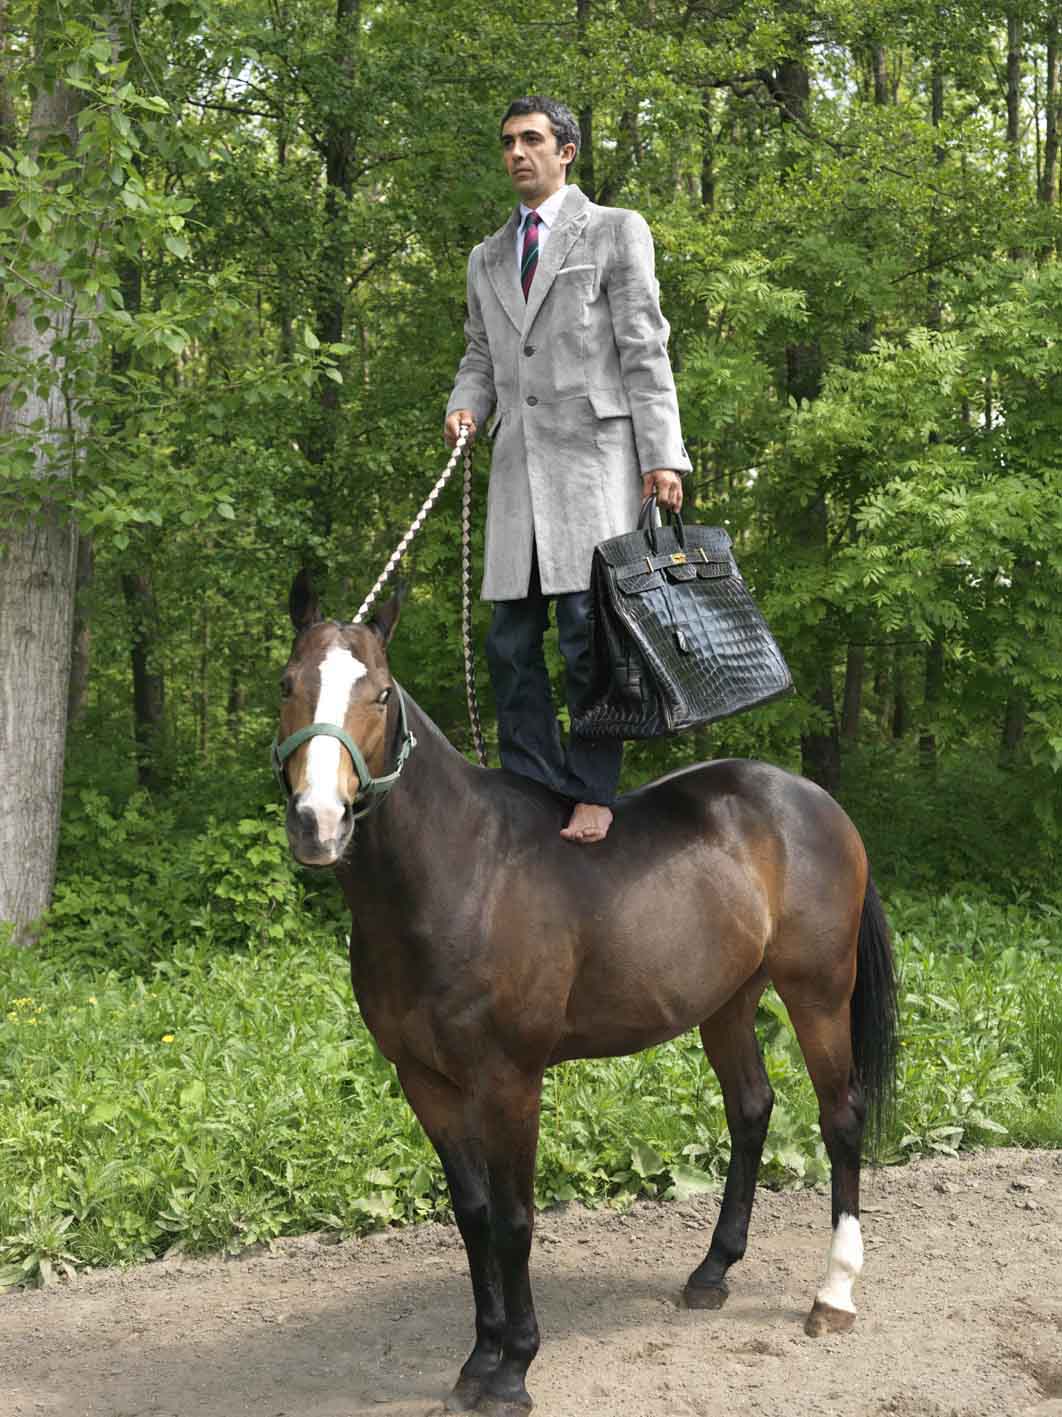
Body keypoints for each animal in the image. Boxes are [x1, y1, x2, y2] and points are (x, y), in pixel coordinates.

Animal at [273, 573, 897, 1417]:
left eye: (378, 693)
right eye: (289, 684)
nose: (319, 821)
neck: (460, 872)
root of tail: (815, 800)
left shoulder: (510, 1081)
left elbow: (514, 1218)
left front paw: (514, 1367)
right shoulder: (423, 1080)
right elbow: (472, 1214)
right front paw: (479, 1356)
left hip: (819, 992)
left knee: (841, 1118)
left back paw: (833, 1293)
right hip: (727, 1001)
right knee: (751, 1109)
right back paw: (712, 1271)